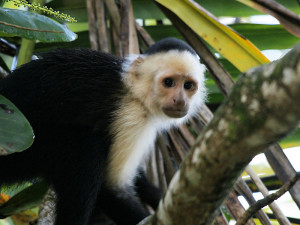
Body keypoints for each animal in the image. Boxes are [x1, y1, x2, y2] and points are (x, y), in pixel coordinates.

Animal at [0, 37, 206, 224]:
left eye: (188, 86)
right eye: (169, 82)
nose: (180, 101)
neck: (134, 91)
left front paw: (158, 196)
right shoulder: (130, 116)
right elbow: (110, 188)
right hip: (23, 148)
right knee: (88, 146)